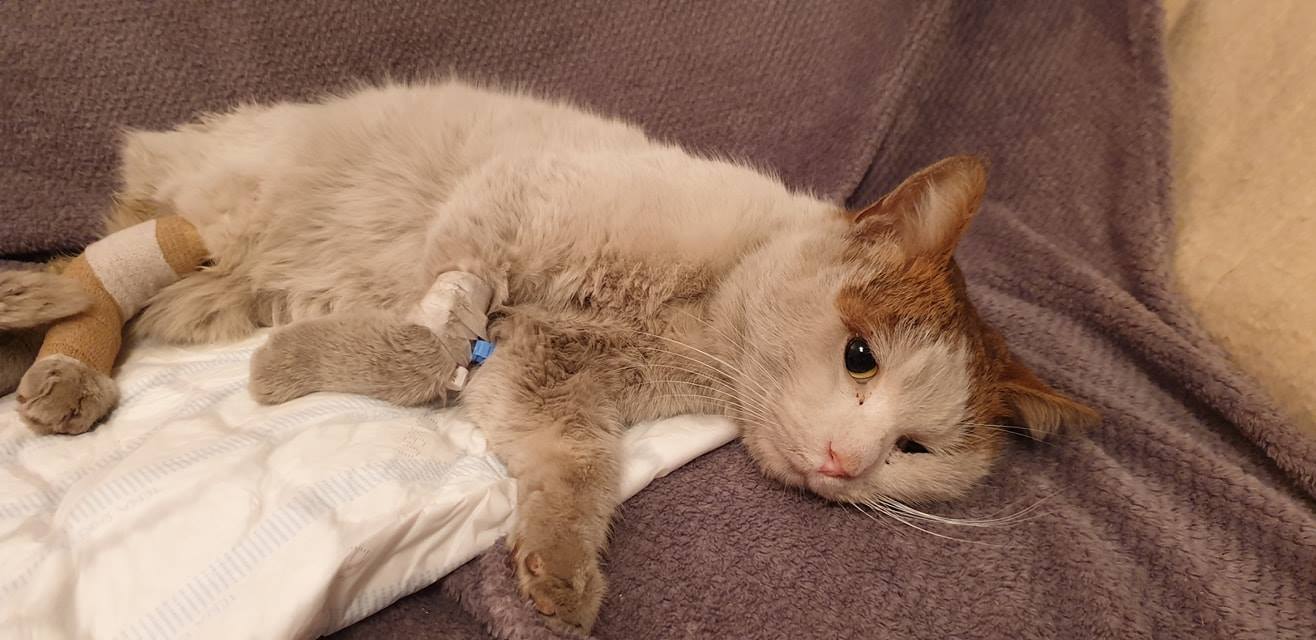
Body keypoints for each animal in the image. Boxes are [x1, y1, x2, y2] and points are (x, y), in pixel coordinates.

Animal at [0, 80, 1097, 634]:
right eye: (858, 356)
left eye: (914, 451)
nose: (843, 463)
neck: (699, 322)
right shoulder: (500, 206)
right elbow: (422, 345)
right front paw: (296, 367)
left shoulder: (548, 384)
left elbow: (574, 470)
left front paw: (559, 575)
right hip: (225, 219)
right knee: (99, 258)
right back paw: (47, 332)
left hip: (210, 290)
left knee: (131, 291)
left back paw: (48, 362)